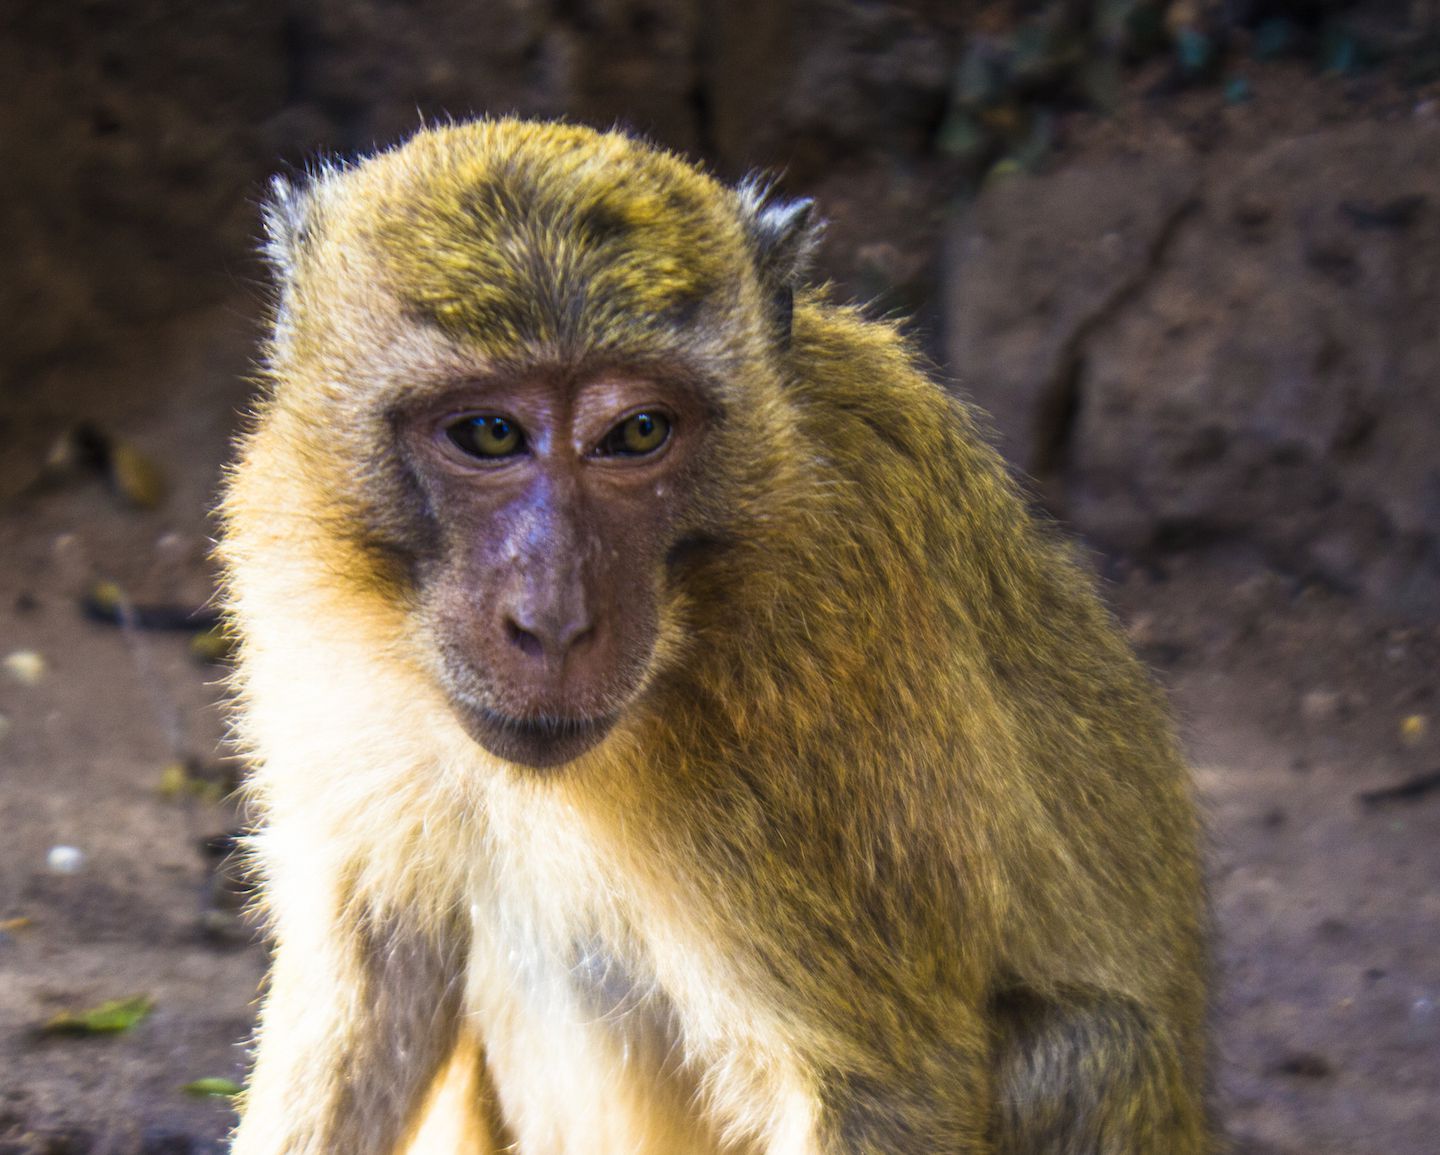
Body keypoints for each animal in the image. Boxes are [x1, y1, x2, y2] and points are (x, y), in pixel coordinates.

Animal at [218, 118, 1211, 1155]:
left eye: (637, 431)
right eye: (489, 433)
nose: (554, 618)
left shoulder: (824, 693)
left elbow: (887, 1089)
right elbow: (377, 969)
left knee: (1086, 1048)